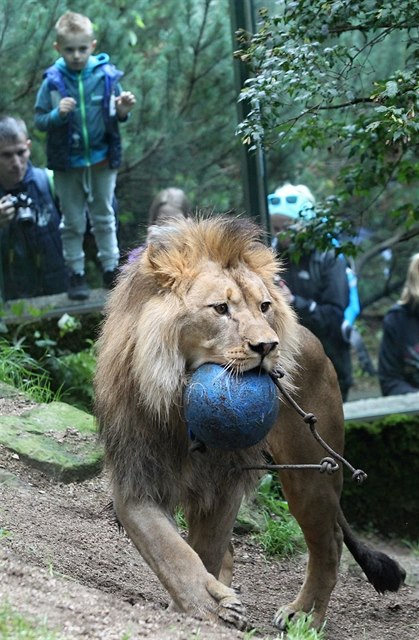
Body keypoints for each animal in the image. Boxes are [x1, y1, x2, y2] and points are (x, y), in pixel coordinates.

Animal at [94, 215, 404, 632]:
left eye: (264, 306)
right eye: (221, 308)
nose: (267, 346)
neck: (181, 413)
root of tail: (313, 338)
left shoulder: (223, 483)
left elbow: (203, 549)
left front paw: (206, 610)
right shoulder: (135, 478)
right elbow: (169, 550)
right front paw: (209, 604)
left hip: (311, 474)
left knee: (330, 542)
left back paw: (305, 615)